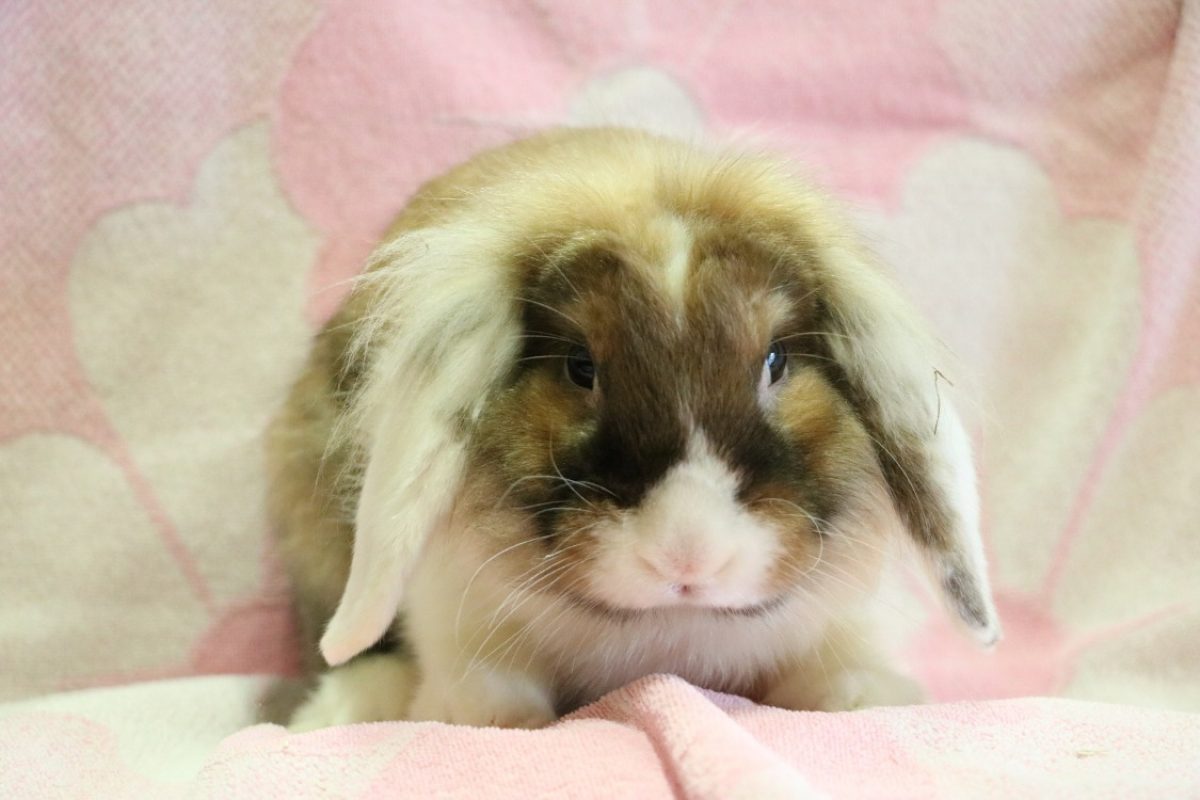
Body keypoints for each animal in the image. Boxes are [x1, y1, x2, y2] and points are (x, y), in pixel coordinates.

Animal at [263, 127, 1000, 731]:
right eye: (579, 366)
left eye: (777, 361)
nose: (688, 557)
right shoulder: (457, 615)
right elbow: (487, 692)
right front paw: (482, 717)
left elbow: (837, 673)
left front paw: (867, 697)